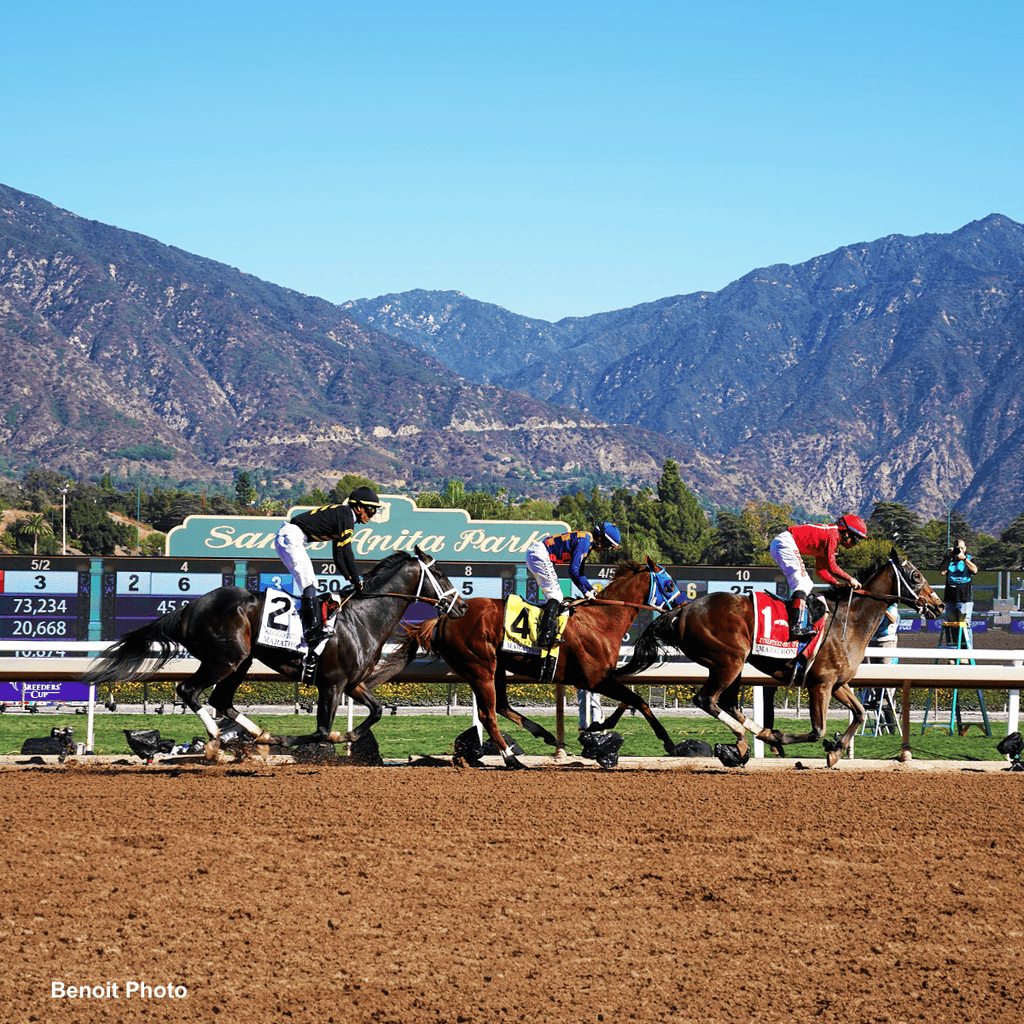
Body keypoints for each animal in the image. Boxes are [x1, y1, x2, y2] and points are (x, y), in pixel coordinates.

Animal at [81, 548, 466, 757]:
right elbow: (322, 732)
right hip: (226, 658)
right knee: (189, 690)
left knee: (221, 700)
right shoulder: (331, 684)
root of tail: (188, 609)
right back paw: (217, 739)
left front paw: (351, 736)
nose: (461, 606)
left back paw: (255, 735)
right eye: (440, 572)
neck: (361, 618)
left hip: (241, 661)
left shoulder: (353, 683)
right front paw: (299, 739)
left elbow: (377, 710)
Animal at [370, 561, 688, 770]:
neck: (602, 620)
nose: (682, 607)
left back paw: (543, 735)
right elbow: (638, 701)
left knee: (501, 706)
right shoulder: (594, 678)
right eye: (670, 584)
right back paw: (512, 759)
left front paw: (594, 731)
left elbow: (629, 701)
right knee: (488, 714)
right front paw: (669, 743)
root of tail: (444, 618)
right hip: (481, 668)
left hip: (496, 668)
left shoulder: (601, 678)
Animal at [606, 548, 942, 765]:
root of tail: (681, 611)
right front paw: (801, 742)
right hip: (730, 660)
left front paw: (837, 748)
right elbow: (817, 730)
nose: (938, 605)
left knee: (727, 703)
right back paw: (747, 738)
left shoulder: (837, 683)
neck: (850, 619)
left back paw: (756, 734)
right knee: (707, 700)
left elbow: (859, 713)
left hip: (732, 666)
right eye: (916, 575)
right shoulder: (820, 684)